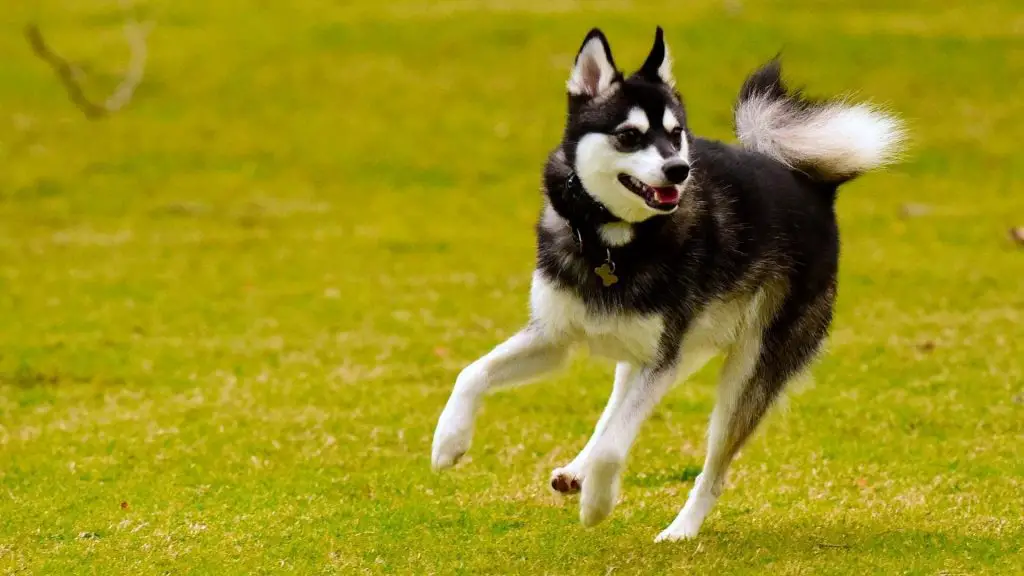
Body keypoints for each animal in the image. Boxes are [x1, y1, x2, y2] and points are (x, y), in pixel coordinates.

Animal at [428, 25, 901, 537]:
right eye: (629, 136)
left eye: (676, 135)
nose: (679, 169)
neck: (613, 243)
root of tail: (813, 187)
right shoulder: (556, 338)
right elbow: (472, 372)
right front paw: (448, 442)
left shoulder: (660, 361)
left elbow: (615, 447)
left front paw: (597, 505)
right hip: (667, 349)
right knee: (611, 412)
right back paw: (576, 471)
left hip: (744, 373)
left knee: (713, 469)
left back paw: (680, 529)